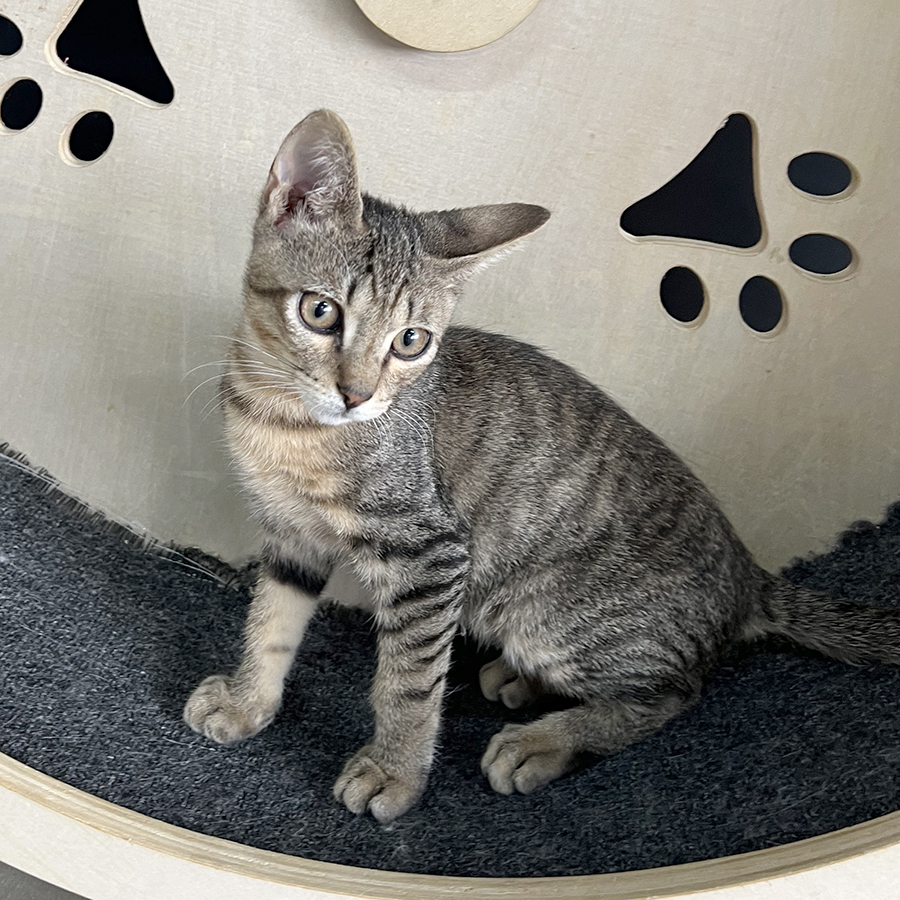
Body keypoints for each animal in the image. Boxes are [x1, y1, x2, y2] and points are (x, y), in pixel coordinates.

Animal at [184, 109, 900, 823]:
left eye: (411, 342)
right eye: (320, 311)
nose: (357, 395)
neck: (282, 421)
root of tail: (748, 576)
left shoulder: (430, 554)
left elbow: (409, 682)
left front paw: (395, 772)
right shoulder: (292, 535)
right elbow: (271, 622)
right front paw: (248, 701)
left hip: (551, 616)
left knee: (677, 690)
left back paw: (545, 741)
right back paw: (518, 683)